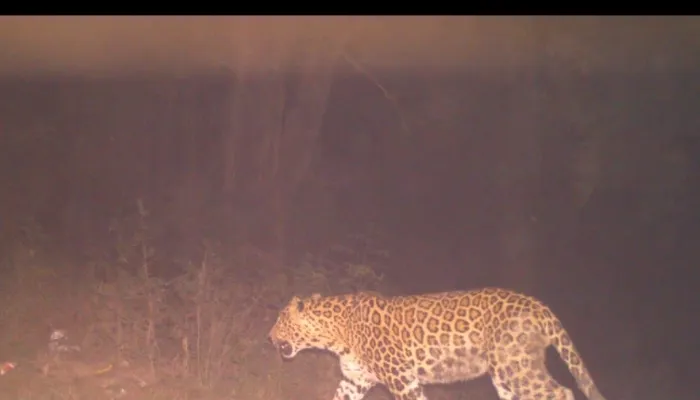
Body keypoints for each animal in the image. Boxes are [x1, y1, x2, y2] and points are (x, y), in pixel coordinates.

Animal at [268, 287, 607, 400]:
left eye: (280, 320)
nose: (268, 337)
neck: (336, 335)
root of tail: (539, 305)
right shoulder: (355, 380)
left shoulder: (402, 380)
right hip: (505, 376)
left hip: (517, 368)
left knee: (562, 392)